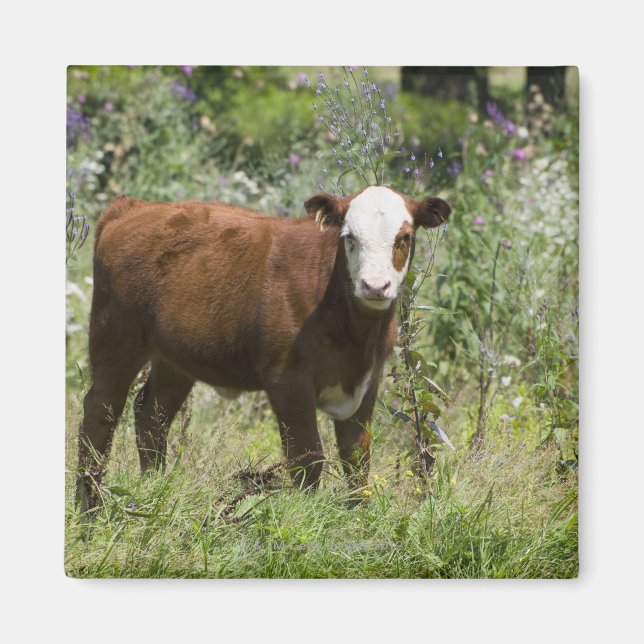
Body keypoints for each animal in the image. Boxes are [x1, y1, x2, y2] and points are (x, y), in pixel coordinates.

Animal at [76, 185, 451, 513]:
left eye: (405, 237)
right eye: (349, 237)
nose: (374, 285)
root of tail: (133, 207)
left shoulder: (367, 379)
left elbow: (357, 456)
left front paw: (359, 517)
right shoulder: (287, 378)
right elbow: (307, 456)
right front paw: (305, 517)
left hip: (174, 359)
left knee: (152, 415)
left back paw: (151, 489)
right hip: (115, 337)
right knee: (100, 412)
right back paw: (89, 507)